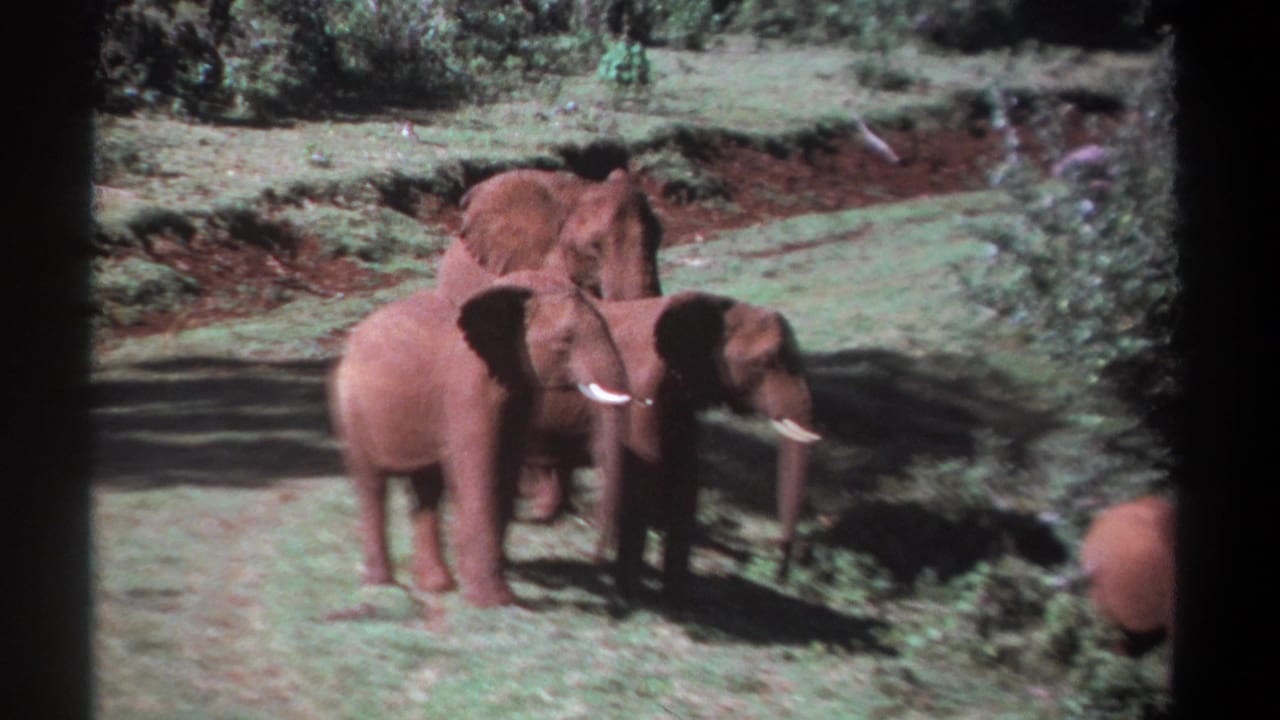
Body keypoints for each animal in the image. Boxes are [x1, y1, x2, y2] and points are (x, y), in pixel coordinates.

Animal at [328, 279, 632, 607]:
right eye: (566, 339)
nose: (599, 559)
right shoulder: (468, 387)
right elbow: (480, 471)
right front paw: (493, 601)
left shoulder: (517, 388)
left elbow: (506, 471)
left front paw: (493, 593)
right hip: (350, 407)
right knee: (372, 484)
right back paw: (380, 585)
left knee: (426, 488)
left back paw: (436, 586)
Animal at [516, 287, 821, 604]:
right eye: (765, 362)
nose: (782, 573)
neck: (715, 306)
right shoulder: (641, 392)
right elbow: (641, 481)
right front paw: (631, 595)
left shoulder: (679, 402)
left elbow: (685, 484)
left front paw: (677, 600)